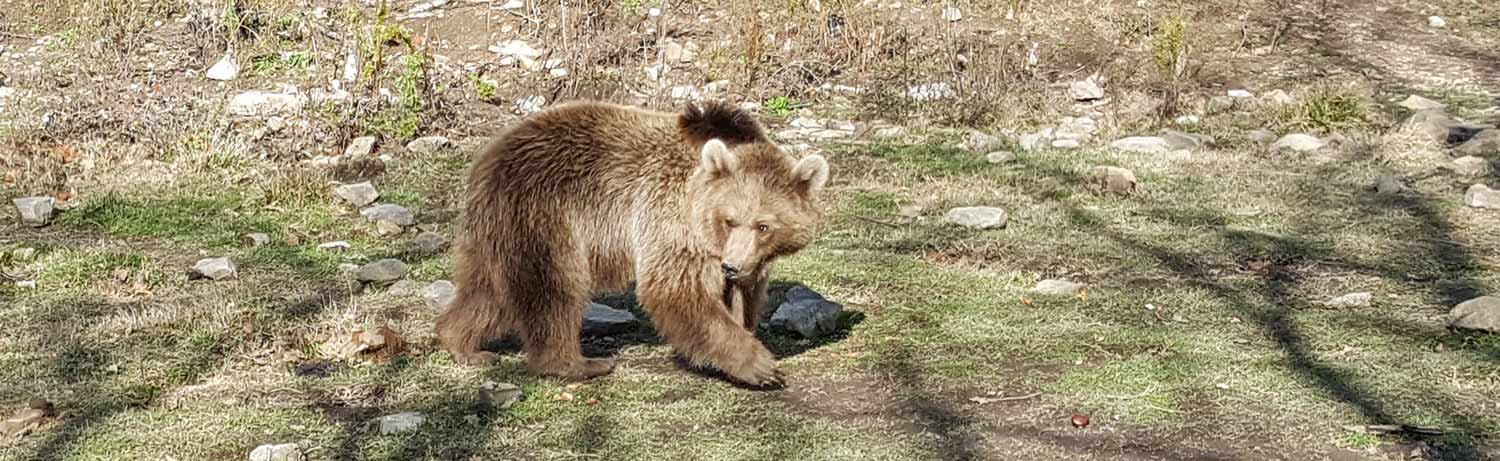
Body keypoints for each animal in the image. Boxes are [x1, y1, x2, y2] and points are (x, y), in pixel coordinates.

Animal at [435, 99, 834, 387]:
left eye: (764, 225)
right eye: (731, 218)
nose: (732, 265)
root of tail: (489, 155)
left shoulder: (741, 258)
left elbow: (741, 296)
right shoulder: (671, 217)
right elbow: (676, 289)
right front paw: (761, 366)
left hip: (497, 232)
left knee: (488, 292)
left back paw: (463, 344)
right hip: (545, 217)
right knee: (555, 291)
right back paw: (580, 363)